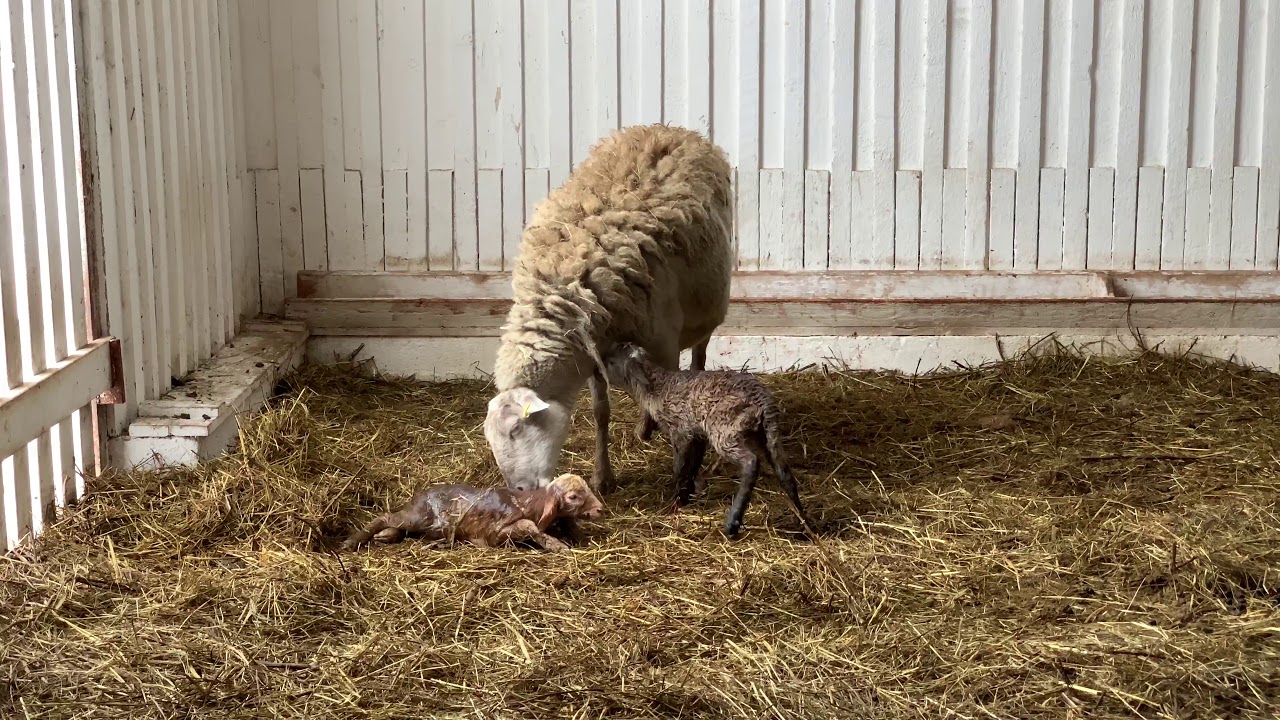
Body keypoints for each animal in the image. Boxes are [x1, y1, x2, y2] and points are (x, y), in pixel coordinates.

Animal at [341, 473, 606, 552]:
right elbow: (528, 527)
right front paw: (558, 546)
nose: (600, 509)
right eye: (573, 496)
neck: (532, 504)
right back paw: (353, 540)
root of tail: (418, 496)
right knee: (386, 516)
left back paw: (386, 535)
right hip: (420, 516)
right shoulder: (498, 532)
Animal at [484, 124, 734, 496]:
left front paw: (685, 474)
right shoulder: (591, 347)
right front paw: (602, 477)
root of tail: (669, 128)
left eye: (515, 431)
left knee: (699, 355)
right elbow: (601, 411)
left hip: (704, 309)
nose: (519, 491)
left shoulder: (662, 340)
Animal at [602, 342, 806, 538]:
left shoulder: (680, 430)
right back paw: (802, 522)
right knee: (785, 473)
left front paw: (674, 499)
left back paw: (732, 523)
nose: (600, 366)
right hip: (767, 434)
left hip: (725, 431)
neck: (656, 386)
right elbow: (693, 464)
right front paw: (687, 495)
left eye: (612, 362)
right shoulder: (697, 433)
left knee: (751, 462)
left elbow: (680, 466)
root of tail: (762, 401)